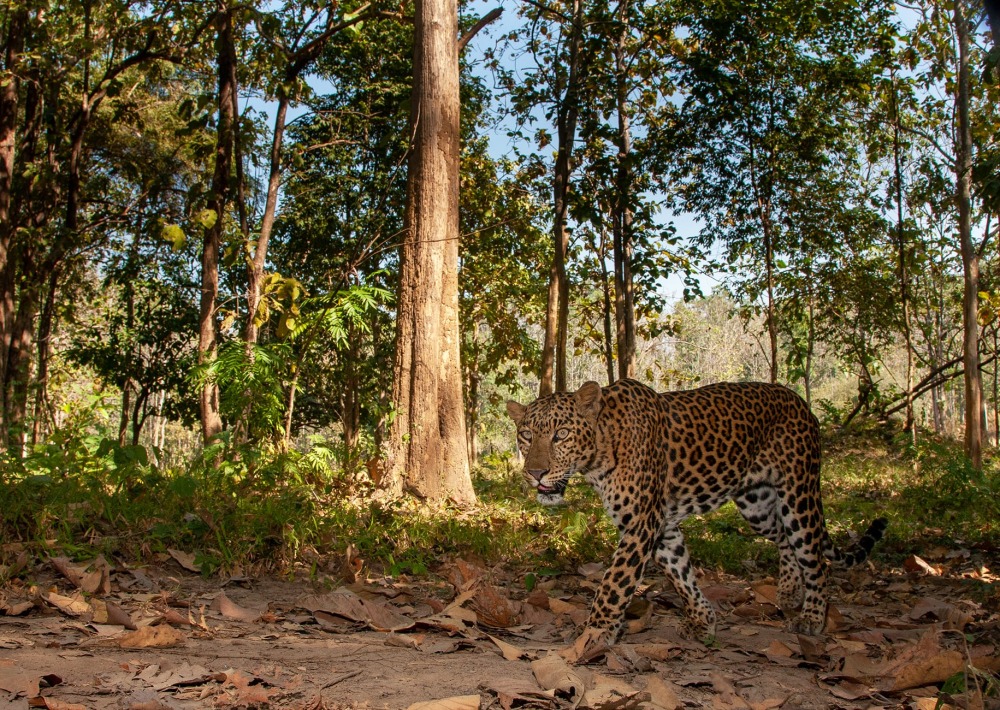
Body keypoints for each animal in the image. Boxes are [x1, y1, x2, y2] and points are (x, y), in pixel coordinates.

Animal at [504, 382, 888, 648]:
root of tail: (802, 403)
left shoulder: (641, 525)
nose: (535, 473)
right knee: (783, 538)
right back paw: (790, 590)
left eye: (561, 434)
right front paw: (704, 621)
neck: (601, 450)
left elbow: (615, 583)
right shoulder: (660, 527)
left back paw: (812, 616)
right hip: (757, 505)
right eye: (526, 435)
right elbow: (681, 575)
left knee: (815, 558)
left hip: (799, 493)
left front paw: (595, 634)